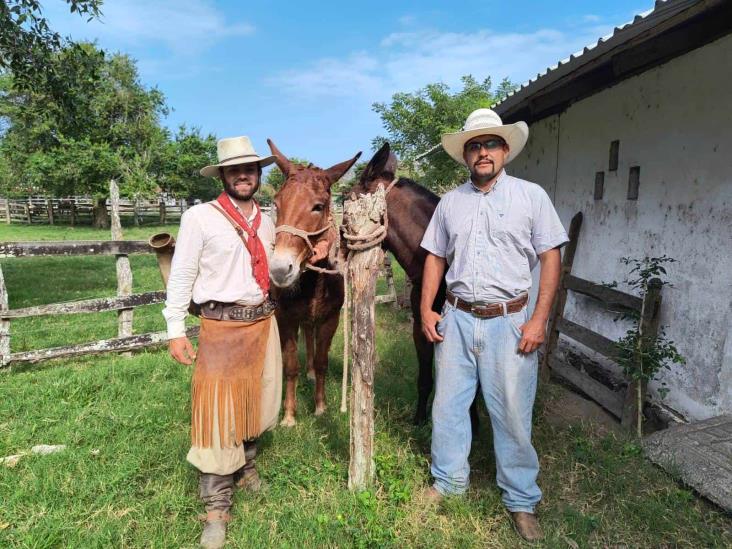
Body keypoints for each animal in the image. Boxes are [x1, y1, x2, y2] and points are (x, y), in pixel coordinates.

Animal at [268, 139, 362, 426]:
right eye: (276, 203)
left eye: (318, 206)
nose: (280, 269)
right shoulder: (285, 318)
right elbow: (290, 366)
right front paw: (289, 414)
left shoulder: (330, 318)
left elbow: (321, 362)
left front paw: (320, 407)